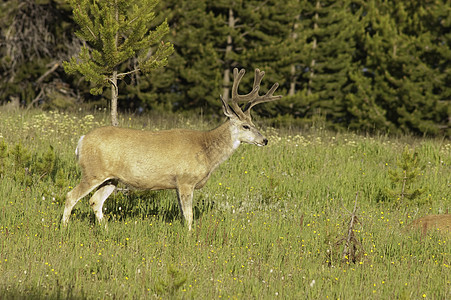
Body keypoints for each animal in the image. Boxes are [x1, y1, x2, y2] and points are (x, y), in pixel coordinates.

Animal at [61, 68, 282, 230]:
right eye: (245, 126)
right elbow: (189, 215)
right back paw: (63, 229)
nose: (264, 140)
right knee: (71, 196)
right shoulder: (185, 180)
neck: (206, 151)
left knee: (95, 201)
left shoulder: (177, 184)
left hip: (111, 178)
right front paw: (190, 238)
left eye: (253, 122)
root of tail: (81, 141)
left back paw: (106, 231)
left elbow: (184, 214)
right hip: (93, 172)